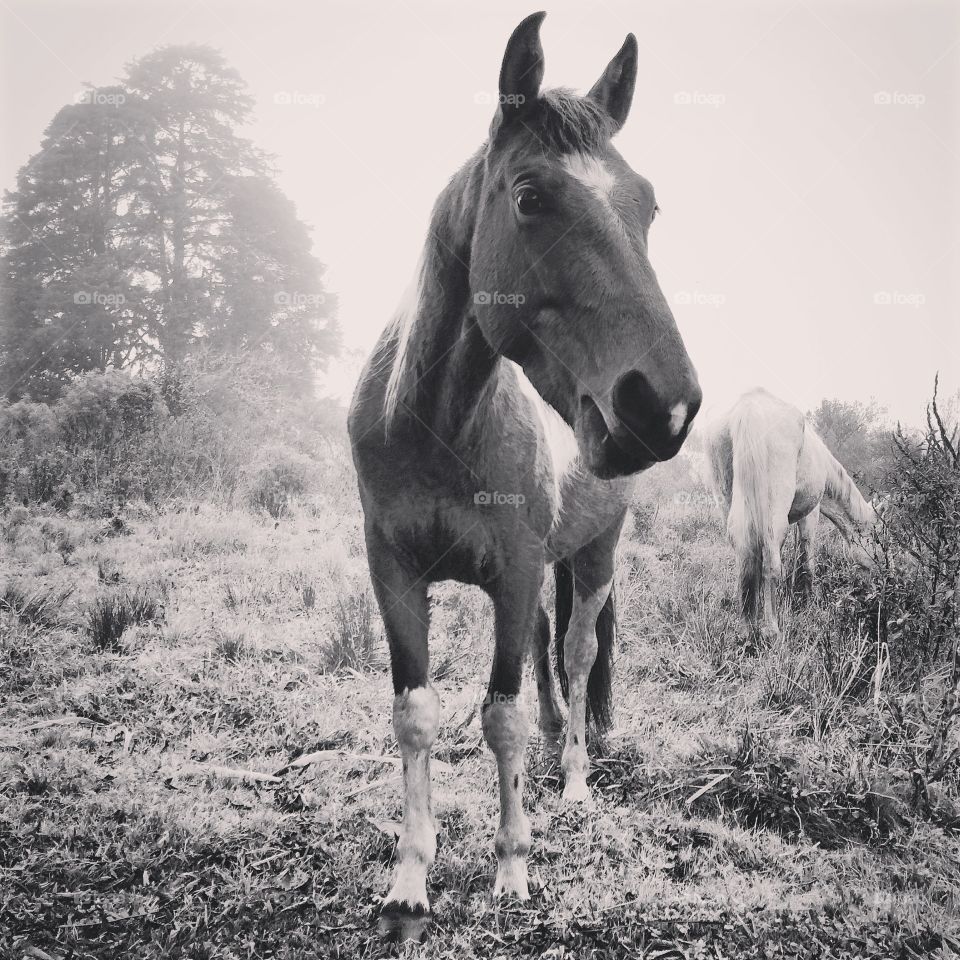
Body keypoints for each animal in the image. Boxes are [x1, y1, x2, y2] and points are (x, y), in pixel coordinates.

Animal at [348, 11, 701, 939]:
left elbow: (498, 716)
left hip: (595, 553)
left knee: (575, 655)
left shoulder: (510, 572)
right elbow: (417, 715)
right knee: (549, 653)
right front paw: (411, 877)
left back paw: (572, 777)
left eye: (649, 205)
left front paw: (511, 867)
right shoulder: (395, 573)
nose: (664, 405)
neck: (436, 424)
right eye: (531, 197)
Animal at [704, 387, 876, 642]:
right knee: (771, 561)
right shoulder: (810, 515)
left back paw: (747, 628)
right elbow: (806, 558)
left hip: (728, 499)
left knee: (745, 553)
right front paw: (807, 602)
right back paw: (771, 630)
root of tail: (749, 406)